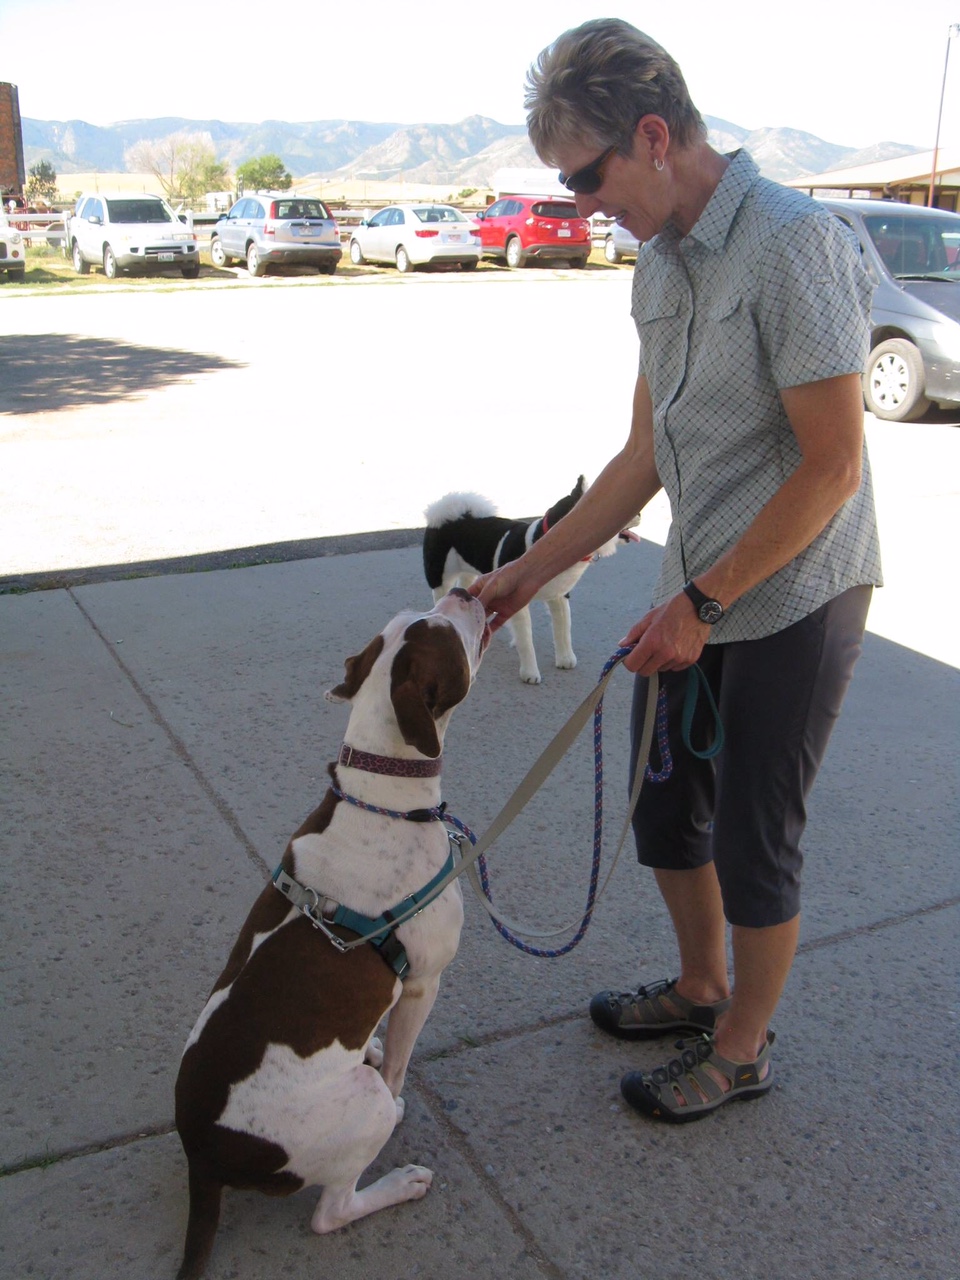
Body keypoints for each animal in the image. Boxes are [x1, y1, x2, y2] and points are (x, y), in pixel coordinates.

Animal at [174, 591, 491, 1280]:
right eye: (446, 629)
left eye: (427, 612)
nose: (466, 592)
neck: (382, 794)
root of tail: (203, 1160)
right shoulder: (423, 983)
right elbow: (399, 1064)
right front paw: (400, 1098)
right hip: (356, 1111)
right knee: (332, 1210)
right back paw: (397, 1181)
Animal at [422, 478, 640, 680]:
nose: (639, 513)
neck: (549, 540)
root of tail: (445, 512)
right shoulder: (517, 600)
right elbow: (527, 640)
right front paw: (530, 672)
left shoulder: (559, 597)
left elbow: (563, 630)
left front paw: (565, 658)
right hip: (440, 577)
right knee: (442, 596)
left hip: (469, 572)